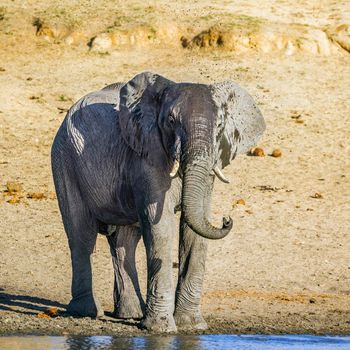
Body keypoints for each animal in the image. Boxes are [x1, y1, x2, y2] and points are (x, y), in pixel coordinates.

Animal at [51, 69, 266, 332]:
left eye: (219, 126)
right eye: (171, 121)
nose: (226, 219)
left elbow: (194, 230)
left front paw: (193, 326)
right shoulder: (147, 157)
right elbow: (161, 228)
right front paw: (161, 329)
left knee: (124, 243)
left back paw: (131, 314)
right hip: (64, 159)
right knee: (81, 235)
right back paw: (88, 312)